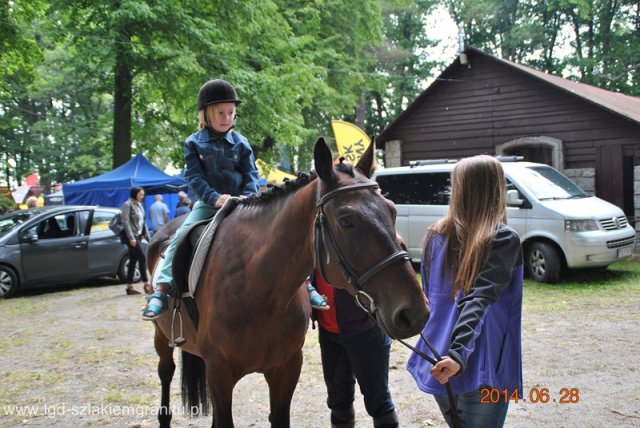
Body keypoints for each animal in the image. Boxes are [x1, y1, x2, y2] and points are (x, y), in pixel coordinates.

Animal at [146, 138, 430, 428]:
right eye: (347, 220)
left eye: (392, 210)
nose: (414, 312)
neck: (257, 288)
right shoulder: (219, 372)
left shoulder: (287, 368)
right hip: (162, 337)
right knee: (166, 372)